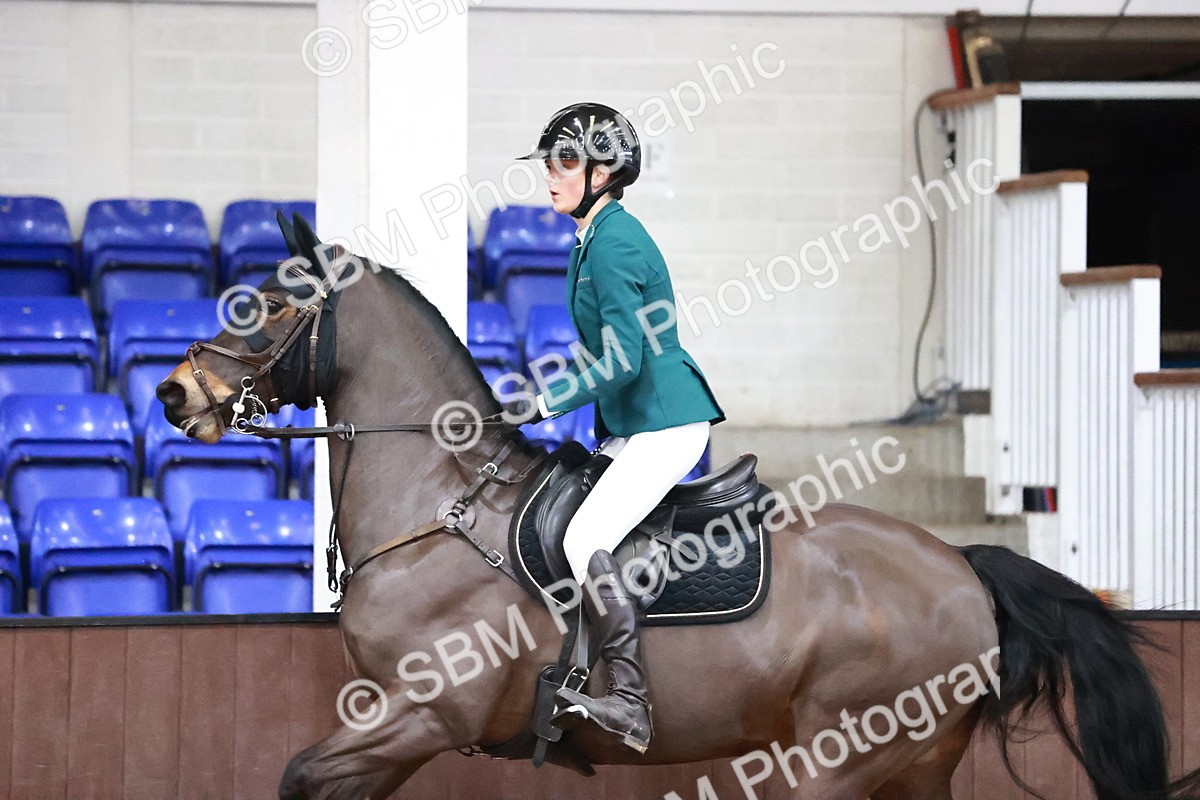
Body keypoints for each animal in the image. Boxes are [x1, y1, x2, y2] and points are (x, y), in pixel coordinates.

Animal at [156, 215, 1200, 800]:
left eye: (270, 306)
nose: (174, 394)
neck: (442, 507)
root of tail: (961, 564)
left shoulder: (423, 716)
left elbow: (299, 775)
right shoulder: (396, 727)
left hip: (838, 760)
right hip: (916, 767)